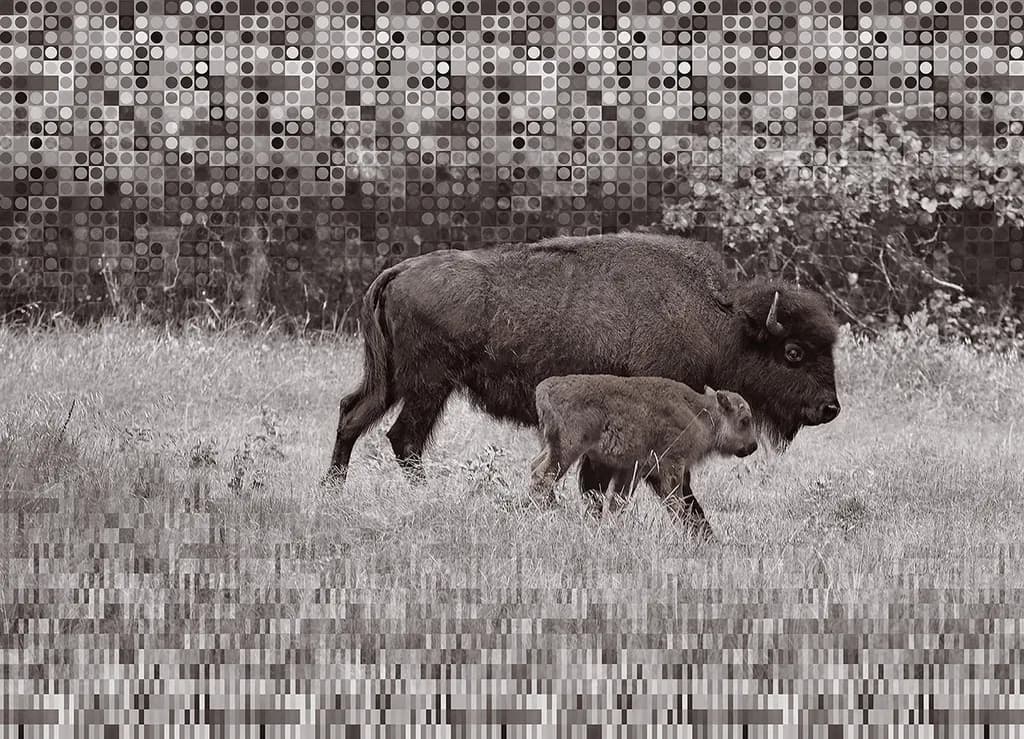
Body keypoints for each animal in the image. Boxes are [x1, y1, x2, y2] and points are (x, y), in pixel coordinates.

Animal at [326, 232, 841, 514]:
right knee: (405, 438)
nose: (830, 408)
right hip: (428, 385)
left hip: (393, 380)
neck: (719, 320)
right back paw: (425, 494)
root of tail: (397, 271)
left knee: (353, 414)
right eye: (793, 352)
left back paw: (333, 489)